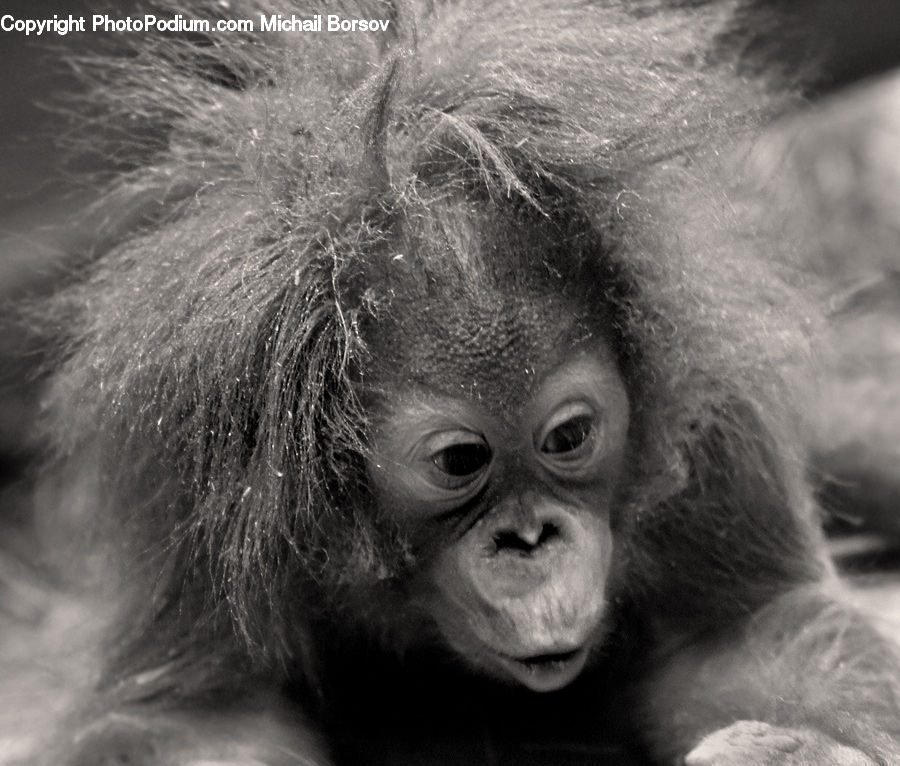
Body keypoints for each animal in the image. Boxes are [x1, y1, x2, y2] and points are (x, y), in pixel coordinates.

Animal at [7, 1, 900, 765]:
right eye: (460, 463)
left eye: (569, 437)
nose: (531, 540)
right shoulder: (193, 450)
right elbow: (199, 714)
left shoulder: (705, 398)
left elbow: (744, 636)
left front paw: (794, 748)